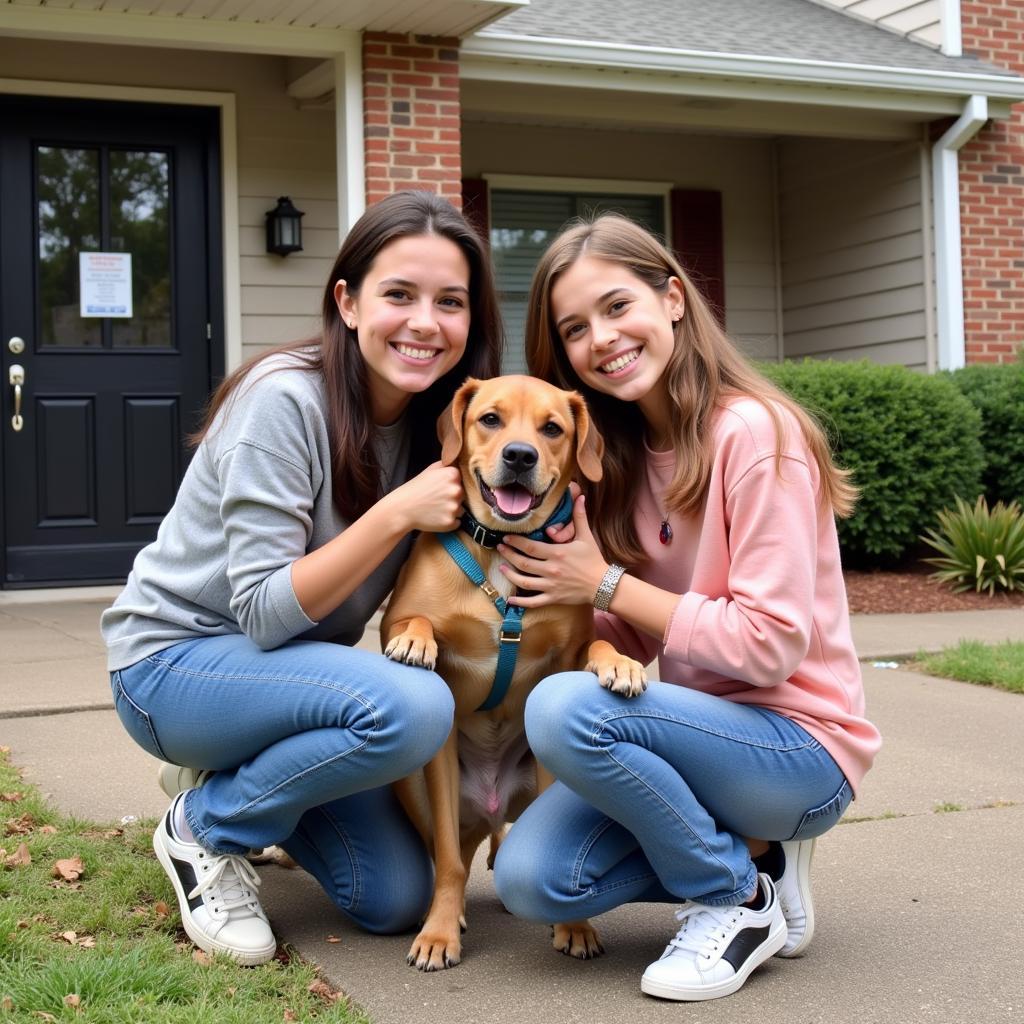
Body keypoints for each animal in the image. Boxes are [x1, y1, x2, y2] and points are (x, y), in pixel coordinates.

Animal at [380, 376, 643, 966]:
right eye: (490, 419)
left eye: (552, 428)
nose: (520, 456)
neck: (502, 547)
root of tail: (490, 804)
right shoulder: (397, 620)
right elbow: (411, 622)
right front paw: (439, 933)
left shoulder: (564, 655)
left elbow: (595, 641)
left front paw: (620, 662)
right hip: (420, 783)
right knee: (449, 851)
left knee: (505, 834)